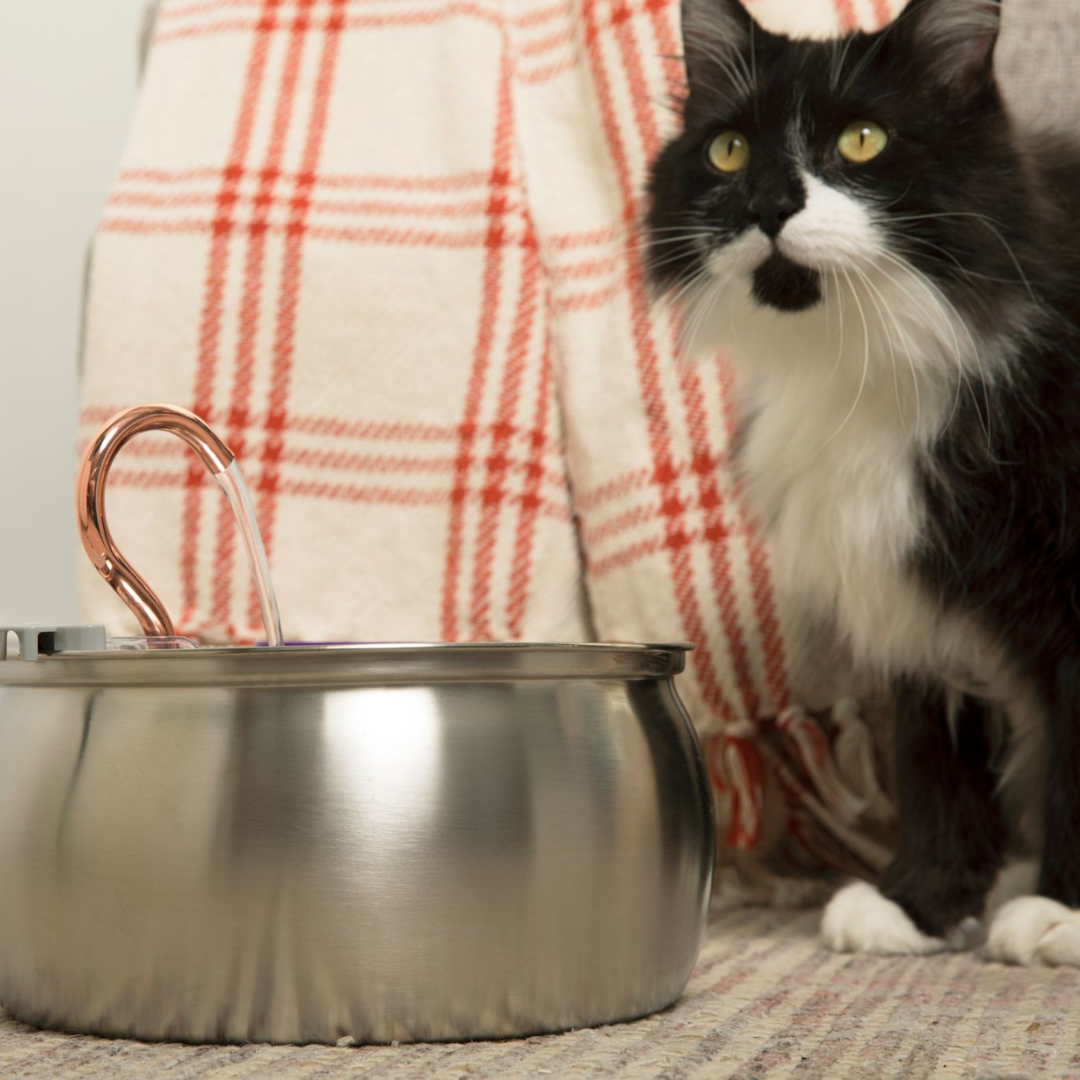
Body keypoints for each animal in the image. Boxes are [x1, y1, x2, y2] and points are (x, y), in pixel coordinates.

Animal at [639, 0, 1080, 963]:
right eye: (729, 150)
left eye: (863, 140)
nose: (768, 203)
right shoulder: (901, 594)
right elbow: (930, 764)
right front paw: (919, 905)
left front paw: (1064, 914)